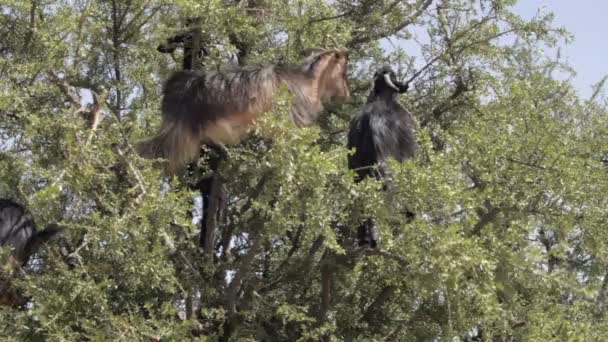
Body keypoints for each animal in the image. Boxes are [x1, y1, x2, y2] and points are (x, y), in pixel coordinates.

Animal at [136, 48, 350, 174]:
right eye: (343, 72)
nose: (346, 93)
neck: (307, 83)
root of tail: (172, 87)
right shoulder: (291, 124)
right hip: (181, 132)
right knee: (153, 151)